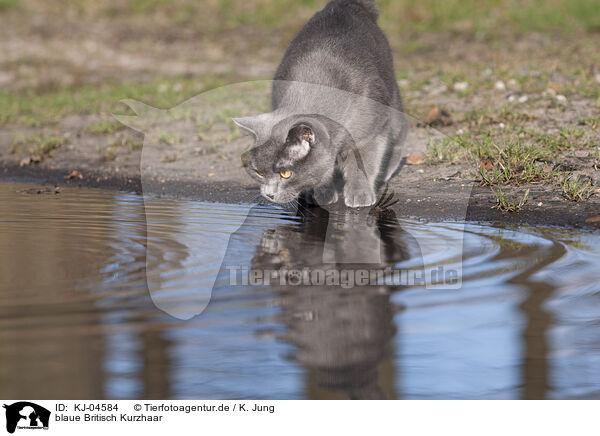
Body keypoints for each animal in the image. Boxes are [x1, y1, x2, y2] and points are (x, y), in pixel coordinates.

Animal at [234, 0, 408, 208]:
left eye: (286, 174)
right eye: (259, 172)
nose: (269, 195)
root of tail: (344, 5)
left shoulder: (370, 134)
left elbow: (364, 164)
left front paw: (359, 195)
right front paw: (324, 193)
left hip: (390, 99)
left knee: (400, 131)